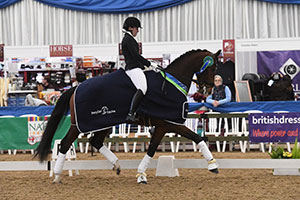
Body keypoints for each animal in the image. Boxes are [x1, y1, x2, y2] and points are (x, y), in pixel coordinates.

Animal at [35, 48, 220, 184]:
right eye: (212, 68)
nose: (208, 89)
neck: (172, 83)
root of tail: (76, 88)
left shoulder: (163, 125)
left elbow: (155, 148)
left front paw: (141, 174)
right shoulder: (169, 123)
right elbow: (195, 138)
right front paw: (213, 165)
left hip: (105, 122)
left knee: (95, 141)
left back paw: (116, 165)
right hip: (80, 125)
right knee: (65, 144)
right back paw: (57, 176)